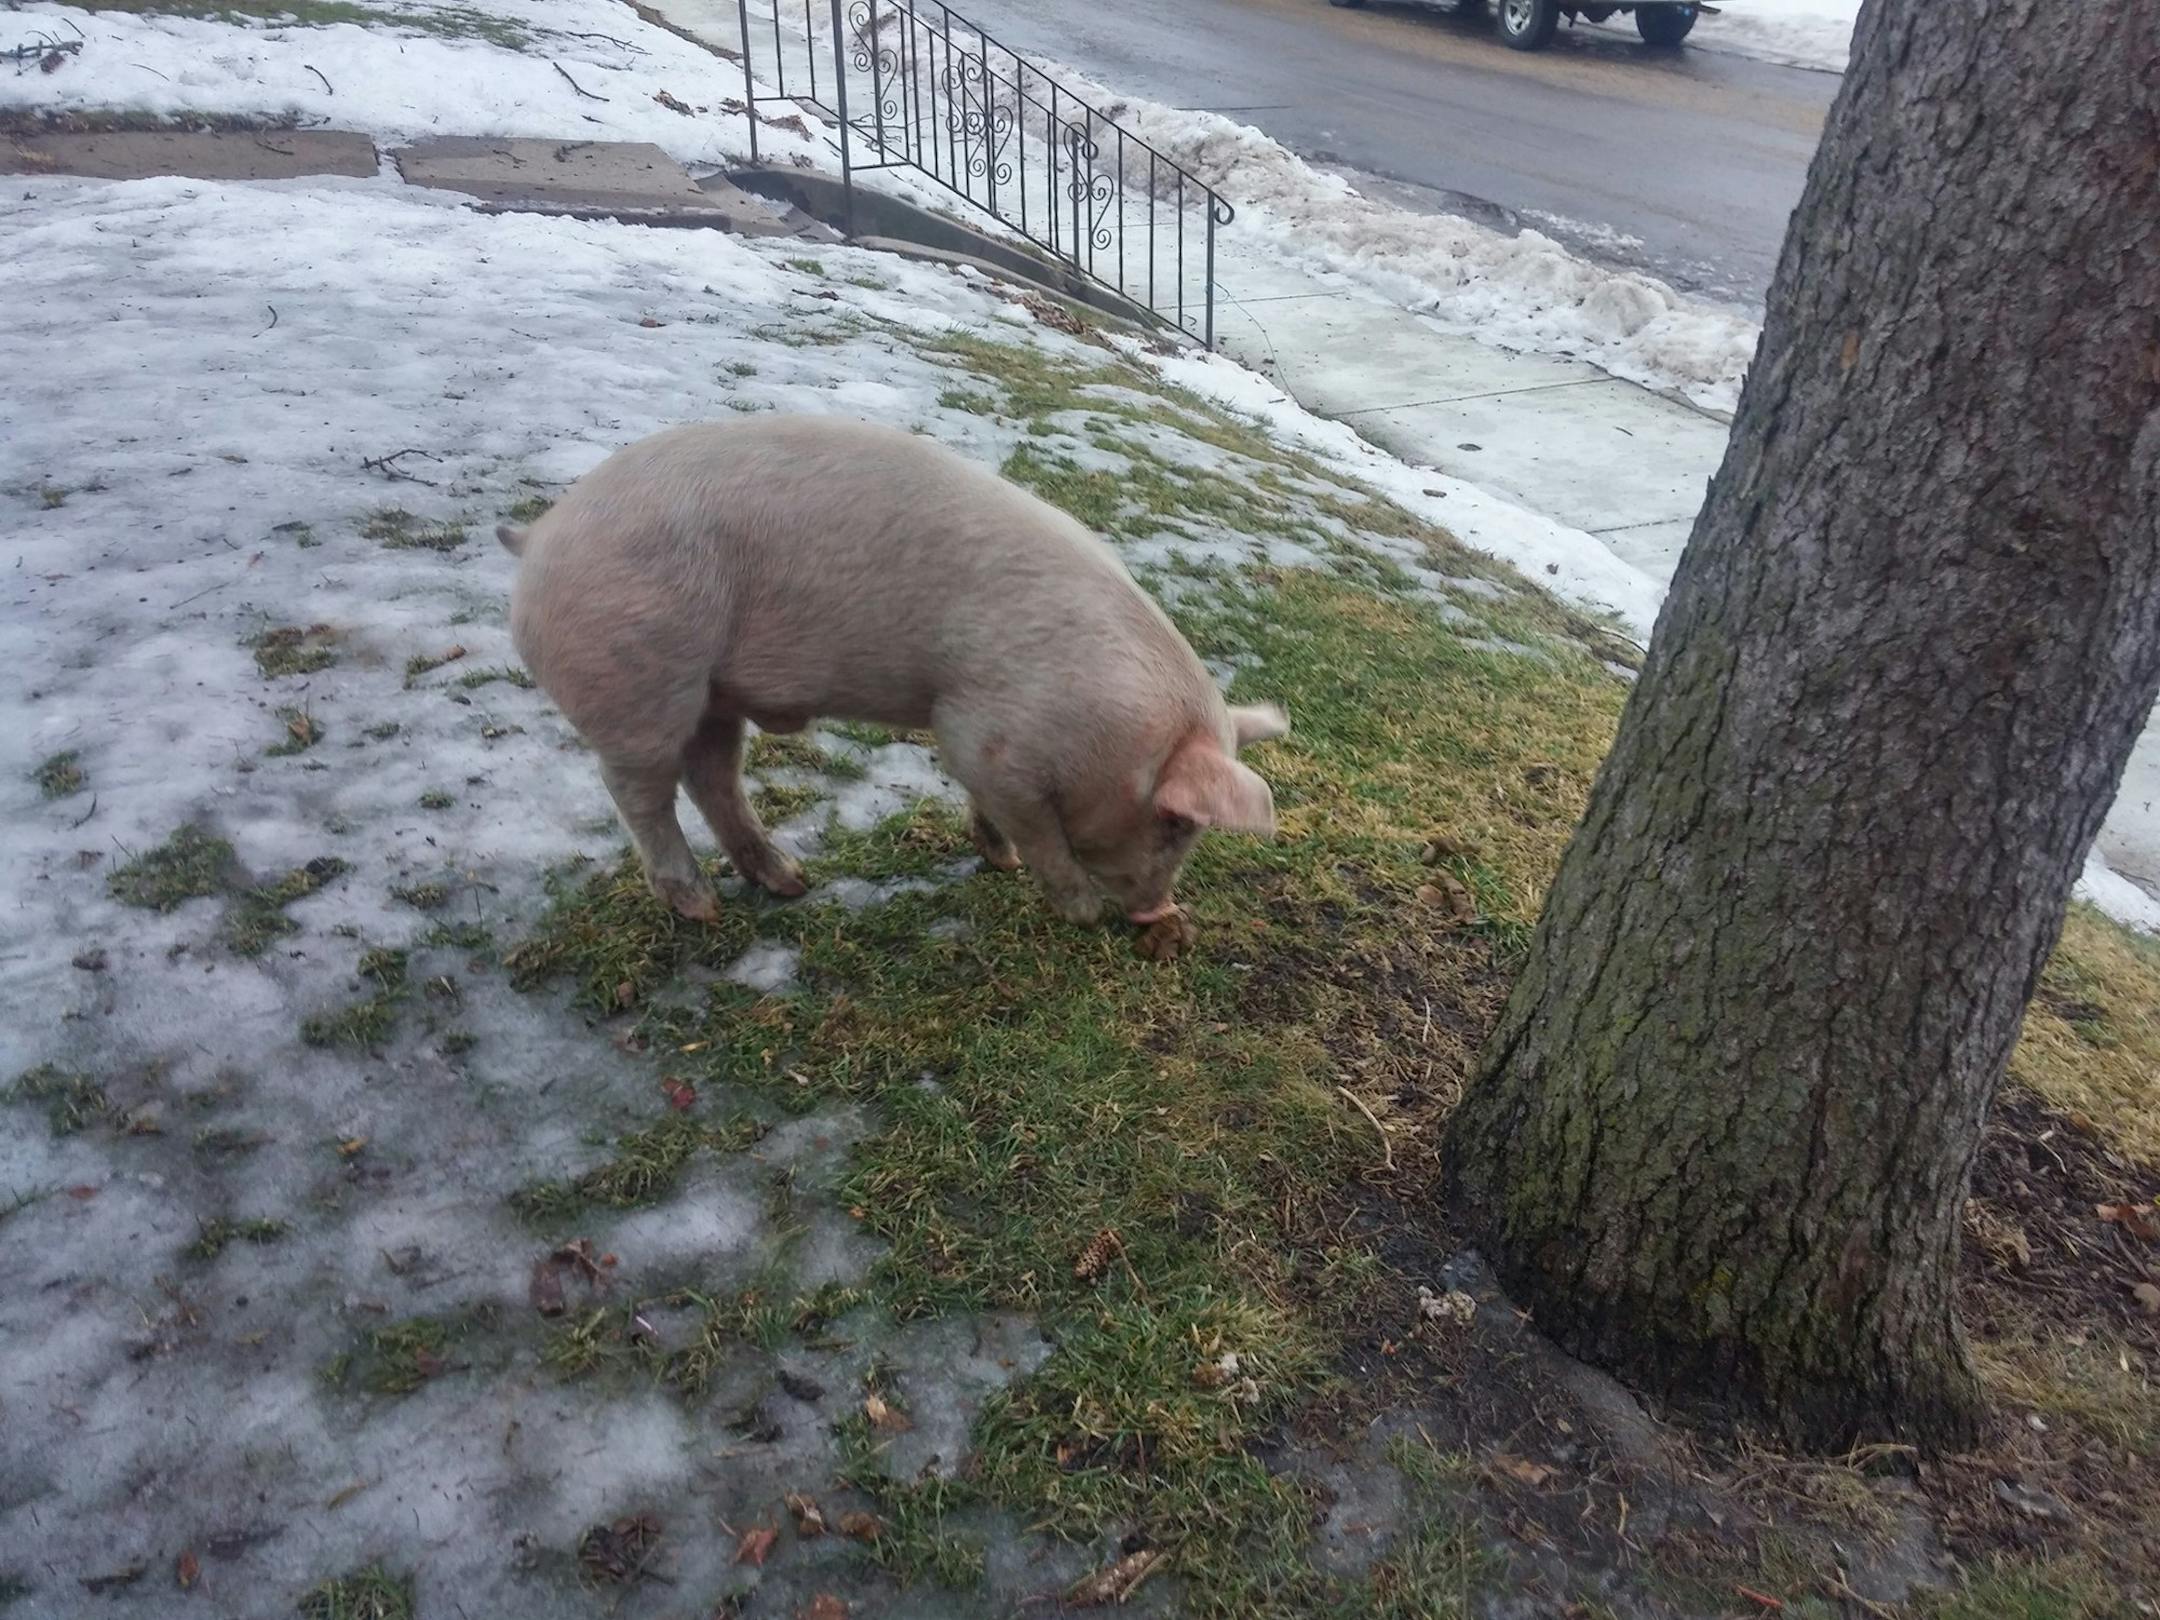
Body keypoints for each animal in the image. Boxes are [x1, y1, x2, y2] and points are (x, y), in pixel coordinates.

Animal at [499, 415, 1287, 931]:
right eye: (1176, 825)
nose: (1157, 911)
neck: (1111, 723)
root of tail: (539, 534)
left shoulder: (990, 754)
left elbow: (995, 813)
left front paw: (999, 862)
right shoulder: (981, 733)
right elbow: (1040, 833)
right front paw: (1080, 910)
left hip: (711, 694)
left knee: (711, 776)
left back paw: (790, 883)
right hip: (637, 677)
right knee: (640, 793)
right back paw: (701, 907)